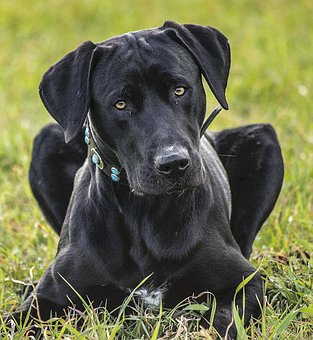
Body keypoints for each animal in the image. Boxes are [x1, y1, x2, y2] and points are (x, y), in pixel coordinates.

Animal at [12, 21, 282, 338]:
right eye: (120, 104)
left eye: (180, 90)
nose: (174, 164)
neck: (142, 213)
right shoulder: (50, 296)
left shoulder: (242, 281)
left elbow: (223, 322)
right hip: (46, 141)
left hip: (263, 139)